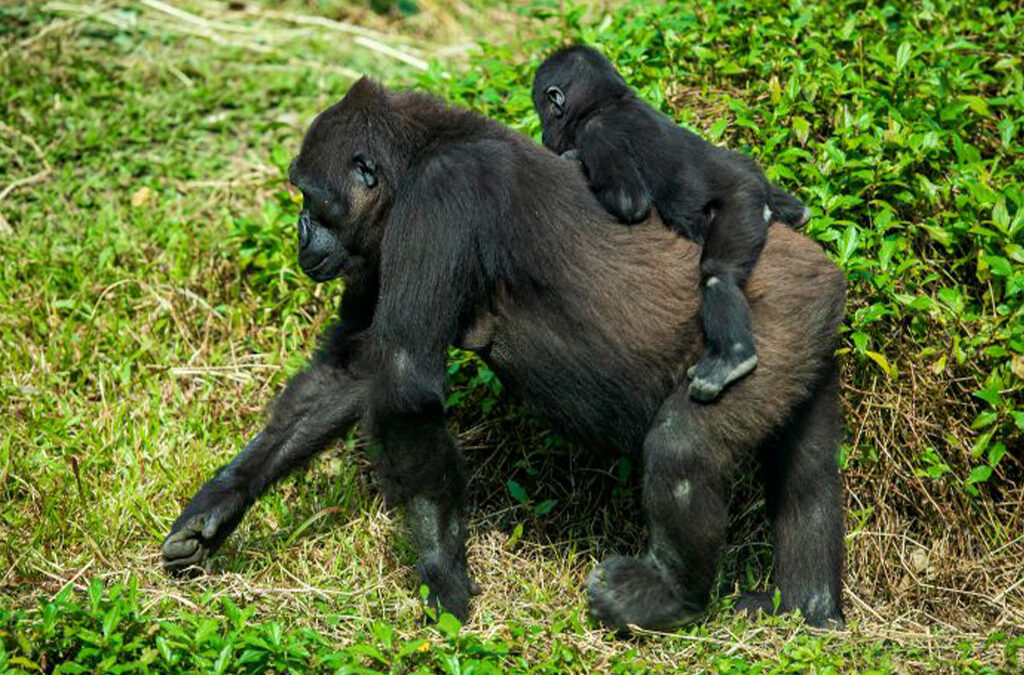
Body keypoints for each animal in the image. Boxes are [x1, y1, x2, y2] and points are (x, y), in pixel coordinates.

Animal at [533, 45, 813, 403]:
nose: (542, 133)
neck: (605, 102)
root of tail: (759, 191)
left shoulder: (597, 134)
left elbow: (629, 200)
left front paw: (572, 158)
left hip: (742, 205)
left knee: (717, 274)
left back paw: (732, 357)